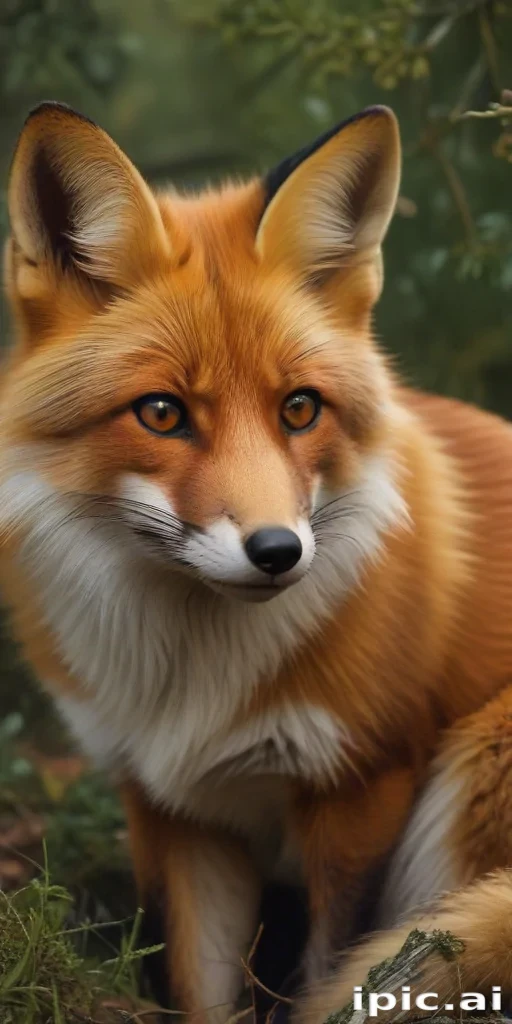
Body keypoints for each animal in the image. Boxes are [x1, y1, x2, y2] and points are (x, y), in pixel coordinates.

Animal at [2, 98, 512, 1023]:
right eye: (162, 413)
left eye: (299, 409)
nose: (278, 551)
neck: (193, 686)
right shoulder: (171, 807)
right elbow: (201, 989)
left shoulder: (362, 787)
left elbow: (331, 971)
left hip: (476, 772)